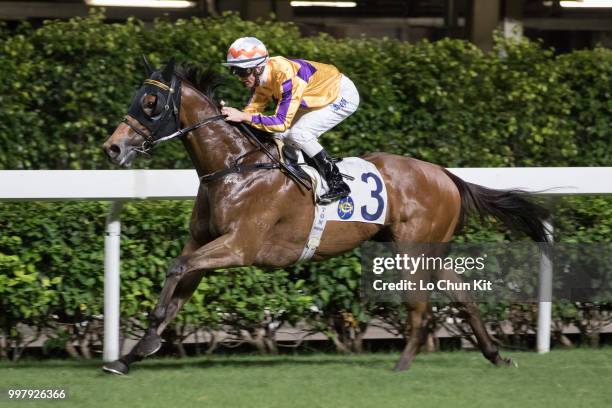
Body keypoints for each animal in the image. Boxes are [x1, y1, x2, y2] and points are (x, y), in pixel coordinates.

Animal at [100, 59, 548, 376]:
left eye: (151, 104)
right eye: (136, 99)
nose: (112, 148)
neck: (235, 166)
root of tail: (445, 174)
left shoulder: (239, 245)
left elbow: (176, 268)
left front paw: (144, 342)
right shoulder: (204, 241)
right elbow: (178, 284)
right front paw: (130, 355)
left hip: (412, 249)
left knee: (420, 308)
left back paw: (402, 364)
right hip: (429, 249)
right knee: (463, 296)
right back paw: (496, 356)